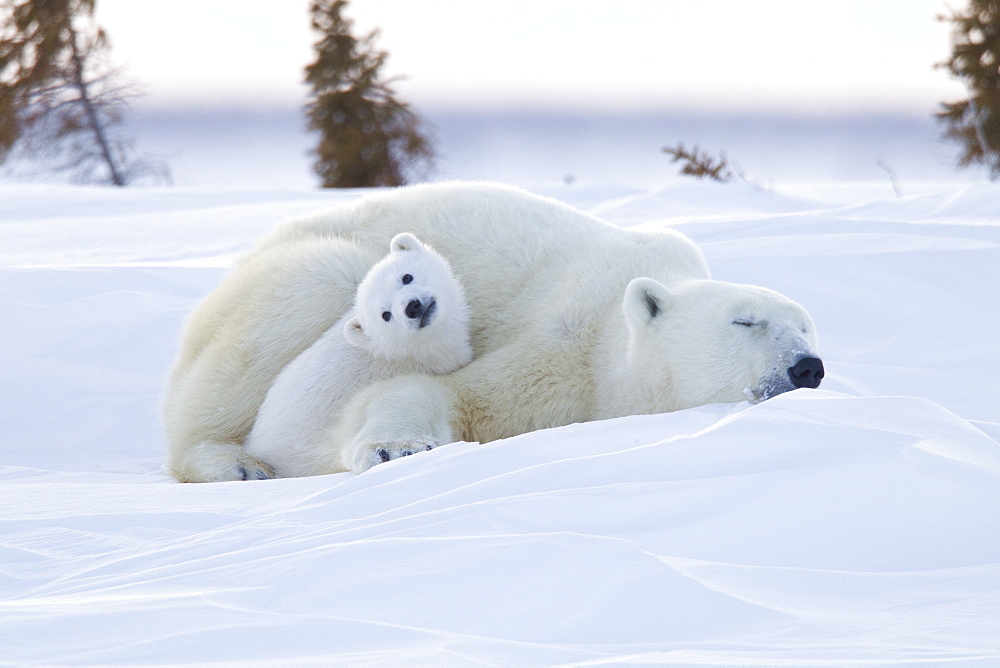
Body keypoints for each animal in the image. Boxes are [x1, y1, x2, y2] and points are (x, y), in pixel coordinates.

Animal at [164, 183, 820, 482]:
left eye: (808, 327)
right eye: (745, 320)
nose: (806, 367)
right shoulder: (569, 336)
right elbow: (462, 395)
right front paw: (398, 448)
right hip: (297, 275)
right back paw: (233, 462)